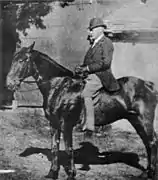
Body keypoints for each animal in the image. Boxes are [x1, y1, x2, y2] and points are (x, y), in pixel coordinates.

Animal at [6, 41, 158, 179]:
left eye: (22, 60)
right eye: (13, 59)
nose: (9, 84)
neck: (59, 86)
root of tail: (148, 84)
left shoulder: (66, 125)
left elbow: (69, 149)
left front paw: (71, 174)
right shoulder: (53, 124)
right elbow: (54, 147)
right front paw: (52, 173)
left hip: (144, 121)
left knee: (152, 142)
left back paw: (150, 173)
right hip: (135, 120)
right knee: (147, 143)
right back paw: (146, 172)